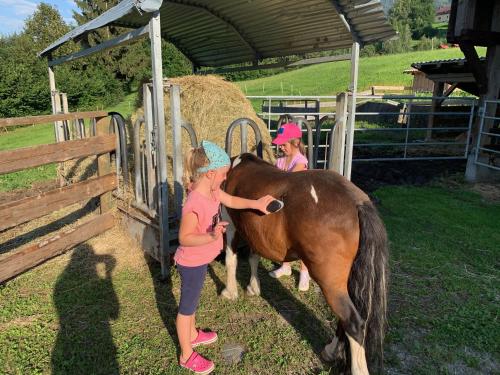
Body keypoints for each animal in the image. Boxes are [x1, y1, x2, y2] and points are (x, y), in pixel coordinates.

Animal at [223, 153, 390, 375]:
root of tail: (357, 202)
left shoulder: (231, 225)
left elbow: (231, 259)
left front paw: (230, 292)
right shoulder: (254, 232)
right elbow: (253, 257)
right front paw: (253, 287)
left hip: (330, 282)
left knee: (353, 323)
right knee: (344, 320)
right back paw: (330, 351)